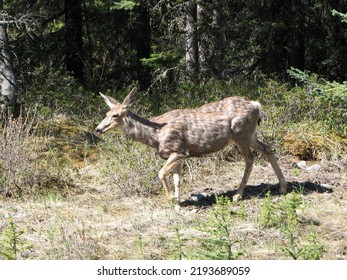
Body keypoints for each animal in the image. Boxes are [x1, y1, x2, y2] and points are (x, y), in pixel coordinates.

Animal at [95, 87, 288, 203]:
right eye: (106, 113)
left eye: (115, 115)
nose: (98, 129)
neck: (156, 135)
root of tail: (257, 105)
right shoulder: (176, 155)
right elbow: (177, 179)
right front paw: (178, 203)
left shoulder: (179, 150)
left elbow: (161, 173)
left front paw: (170, 199)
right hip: (251, 135)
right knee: (268, 149)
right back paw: (283, 187)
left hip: (241, 133)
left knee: (250, 158)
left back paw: (238, 195)